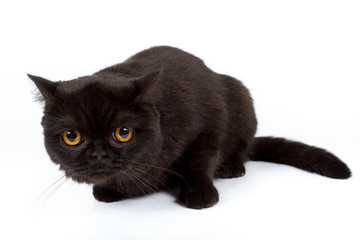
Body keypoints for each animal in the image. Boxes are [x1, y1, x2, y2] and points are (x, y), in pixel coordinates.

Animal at [28, 46, 352, 209]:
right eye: (72, 137)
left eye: (123, 133)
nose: (98, 155)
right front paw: (111, 189)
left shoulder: (207, 127)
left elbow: (198, 161)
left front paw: (200, 193)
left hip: (241, 95)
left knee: (241, 147)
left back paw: (231, 168)